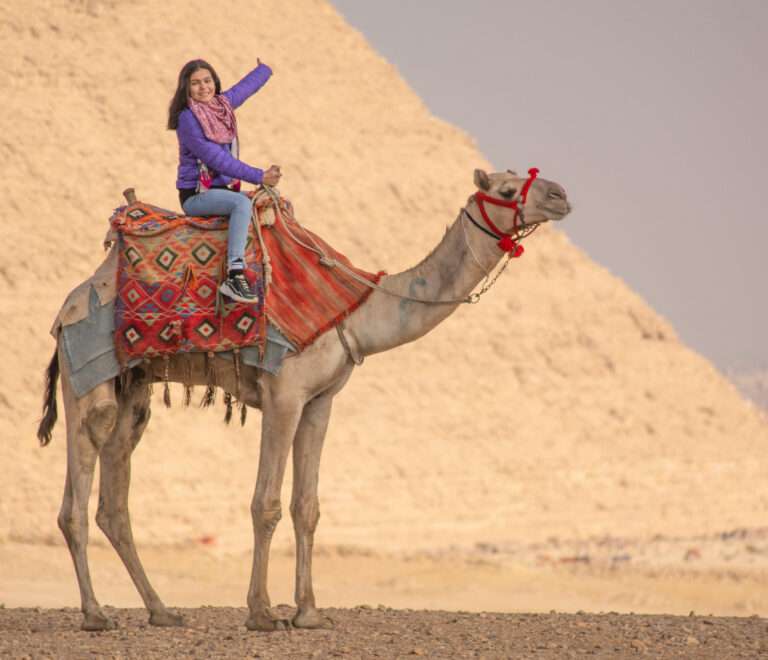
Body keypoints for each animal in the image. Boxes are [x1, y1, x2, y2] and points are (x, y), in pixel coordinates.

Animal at [39, 168, 572, 632]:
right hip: (86, 372)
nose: (560, 195)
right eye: (506, 189)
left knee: (114, 499)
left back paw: (162, 611)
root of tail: (67, 307)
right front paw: (261, 614)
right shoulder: (285, 394)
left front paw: (309, 613)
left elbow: (306, 506)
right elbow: (267, 504)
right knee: (79, 488)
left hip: (134, 386)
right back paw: (95, 614)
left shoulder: (320, 401)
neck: (355, 312)